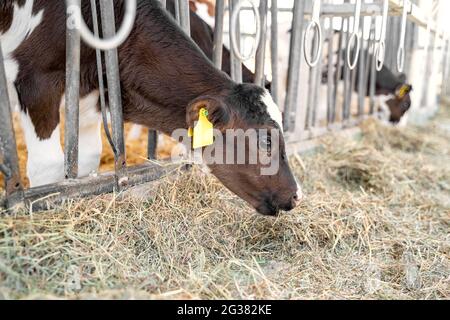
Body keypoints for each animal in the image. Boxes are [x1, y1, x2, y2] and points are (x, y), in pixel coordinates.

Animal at [0, 0, 302, 215]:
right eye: (265, 140)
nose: (297, 195)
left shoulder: (88, 95)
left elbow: (85, 159)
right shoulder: (36, 79)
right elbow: (47, 167)